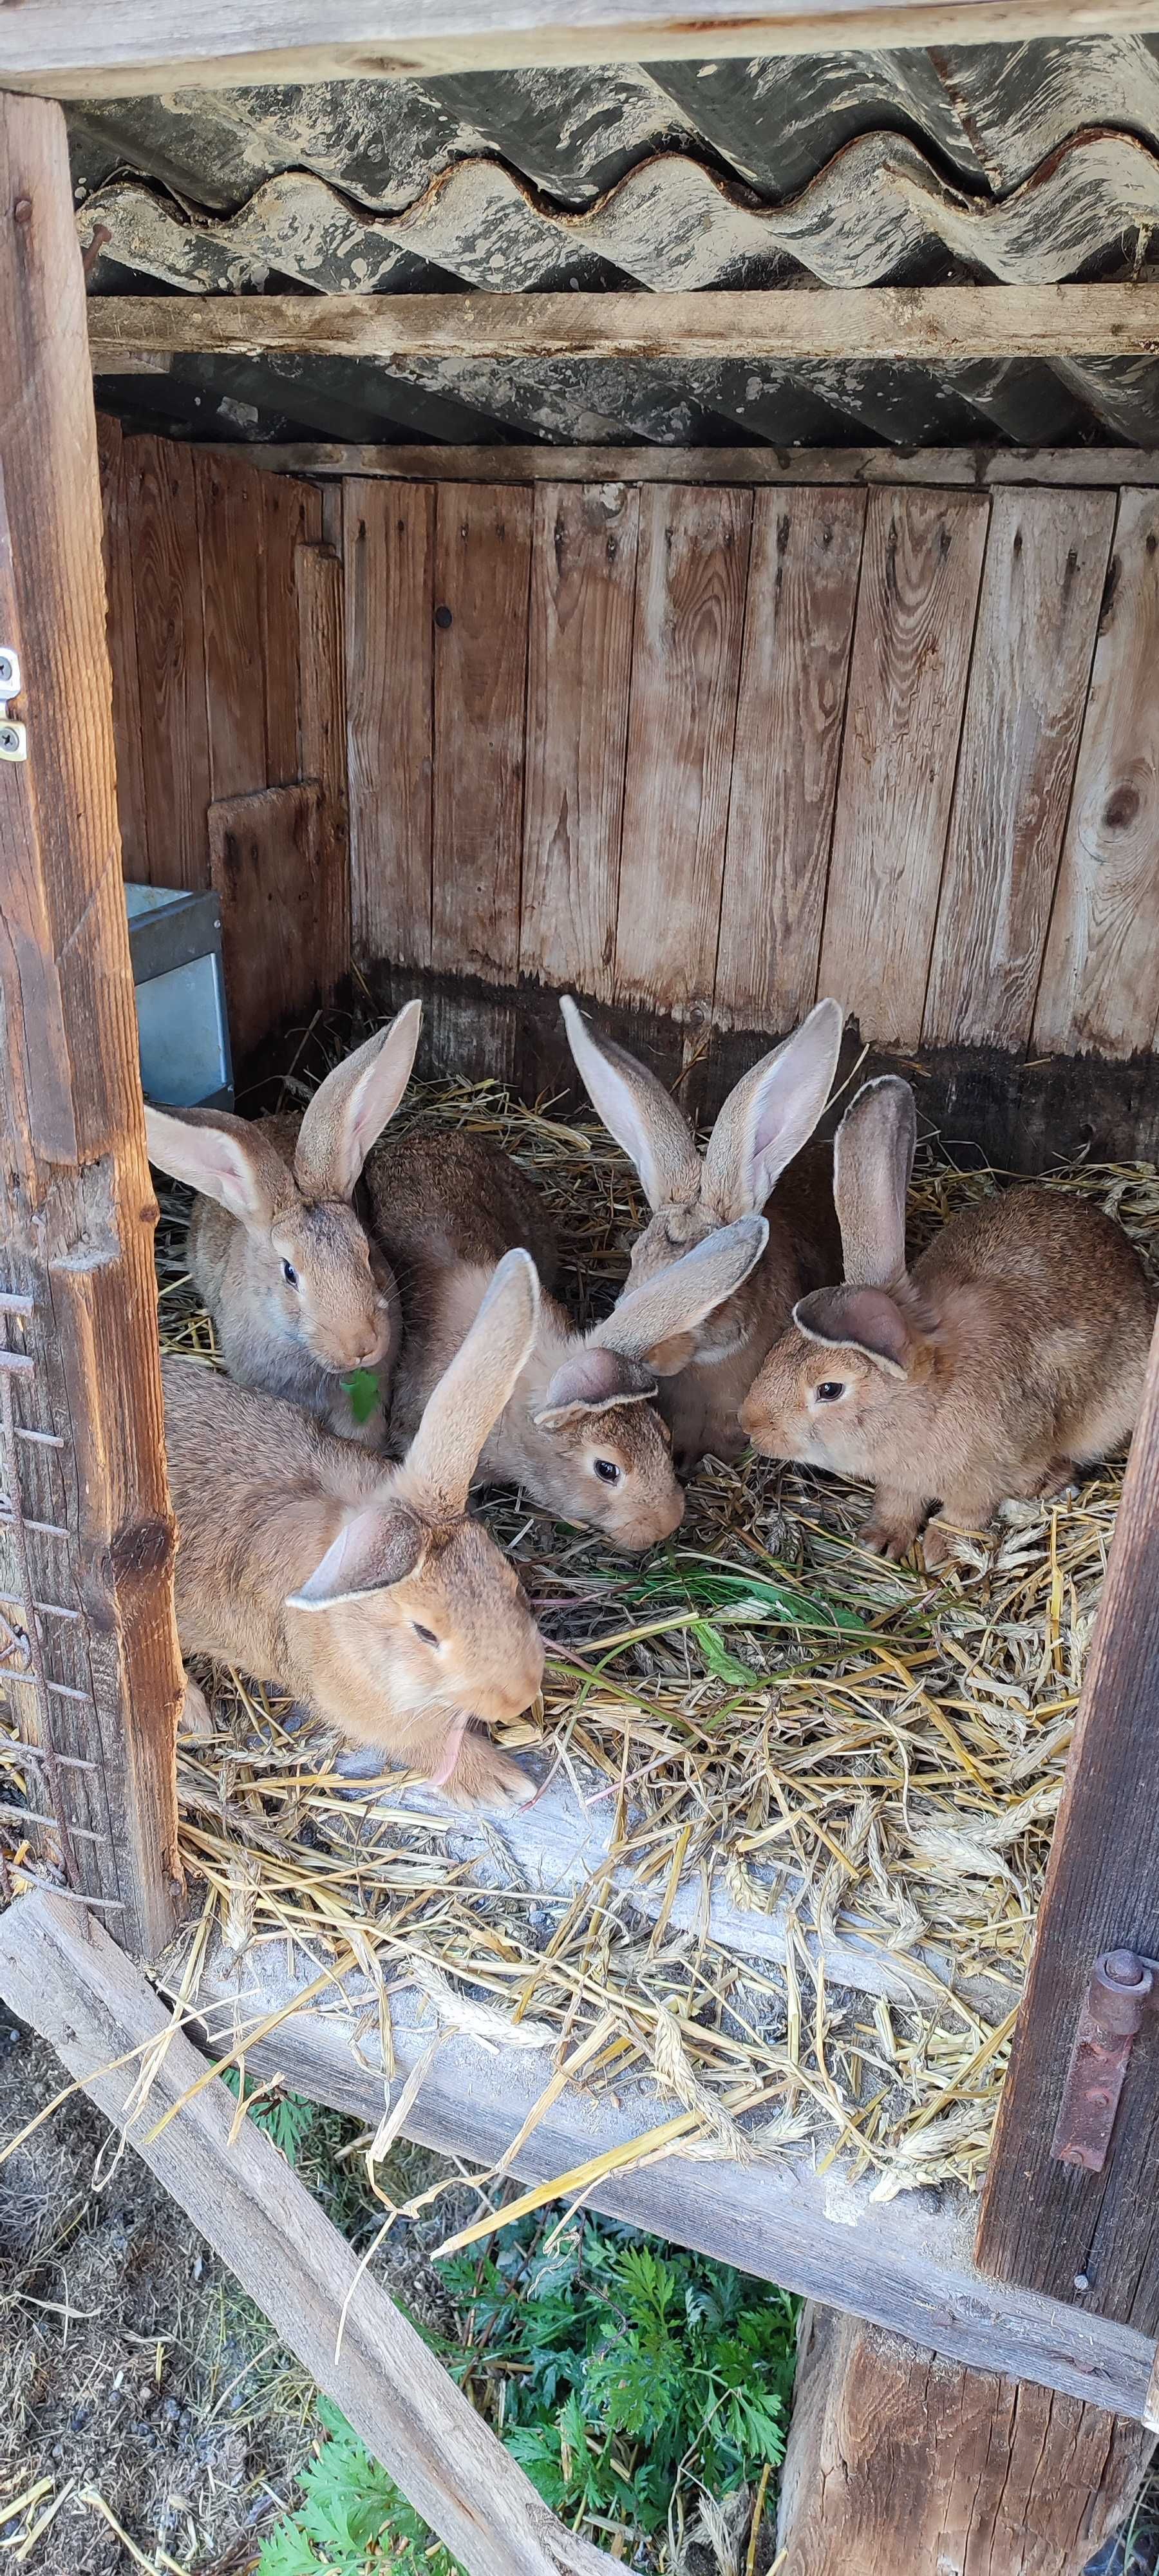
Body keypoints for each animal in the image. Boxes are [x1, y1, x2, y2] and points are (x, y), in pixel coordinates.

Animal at [164, 1247, 549, 1814]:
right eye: (425, 1633)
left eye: (511, 1584)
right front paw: (499, 1782)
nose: (519, 1696)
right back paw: (191, 1713)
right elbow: (423, 1743)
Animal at [737, 1072, 1154, 1566]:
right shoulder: (901, 1481)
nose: (750, 1426)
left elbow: (965, 1515)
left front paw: (940, 1551)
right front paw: (881, 1540)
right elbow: (898, 1503)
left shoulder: (986, 1475)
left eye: (829, 1390)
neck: (928, 1396)